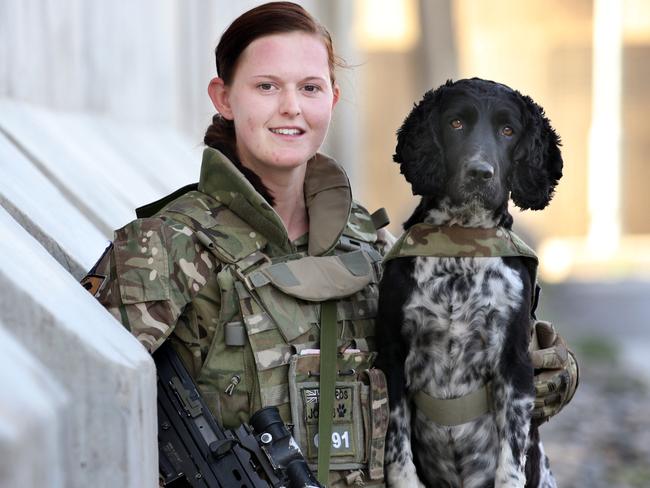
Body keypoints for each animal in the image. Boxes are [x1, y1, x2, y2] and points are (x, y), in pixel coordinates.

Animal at [378, 78, 560, 486]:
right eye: (456, 123)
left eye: (508, 130)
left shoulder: (514, 361)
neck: (461, 242)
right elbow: (396, 444)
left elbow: (511, 461)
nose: (480, 173)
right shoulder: (391, 351)